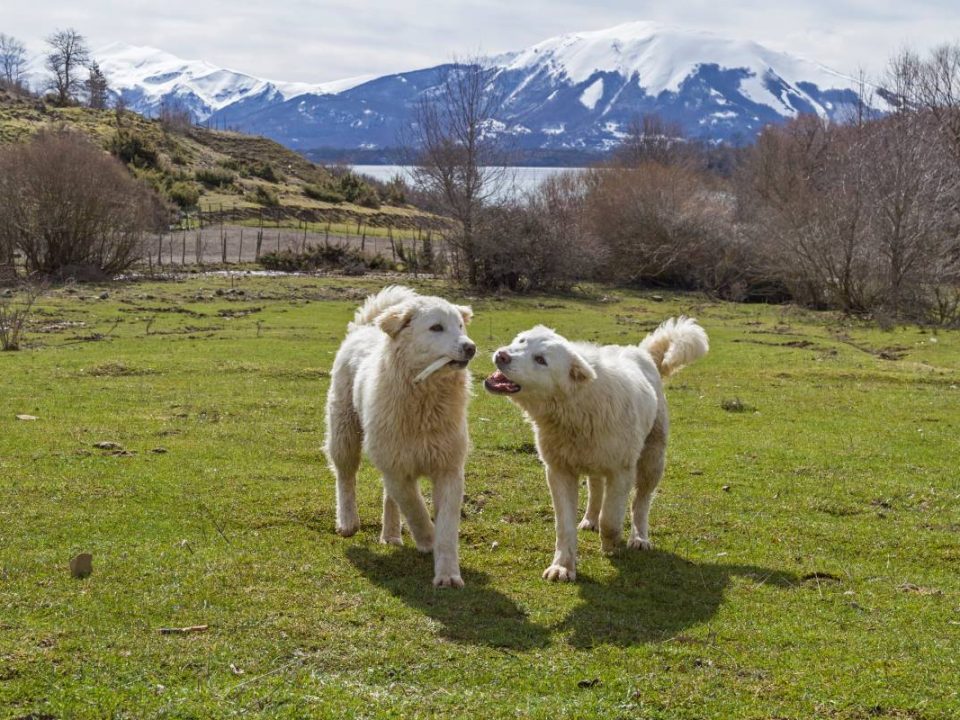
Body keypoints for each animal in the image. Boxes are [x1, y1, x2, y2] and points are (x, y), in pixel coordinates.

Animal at [322, 284, 476, 588]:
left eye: (460, 325)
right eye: (436, 327)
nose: (470, 347)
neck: (426, 399)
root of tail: (363, 328)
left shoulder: (448, 468)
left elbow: (446, 527)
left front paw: (448, 574)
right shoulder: (398, 468)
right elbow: (415, 508)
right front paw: (427, 539)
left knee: (388, 496)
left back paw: (391, 534)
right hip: (344, 432)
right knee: (346, 477)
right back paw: (347, 522)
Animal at [488, 318, 704, 584]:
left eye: (541, 360)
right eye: (521, 341)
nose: (502, 355)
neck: (575, 404)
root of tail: (640, 352)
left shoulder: (621, 472)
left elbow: (610, 518)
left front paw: (611, 546)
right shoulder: (559, 471)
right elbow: (564, 526)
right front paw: (563, 566)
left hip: (652, 460)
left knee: (641, 502)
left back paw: (639, 538)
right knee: (595, 488)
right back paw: (590, 519)